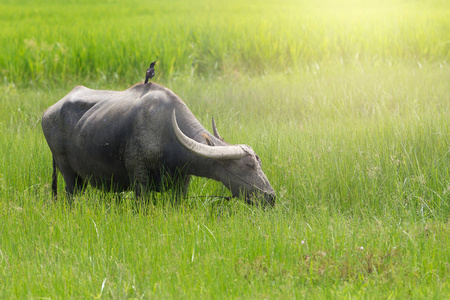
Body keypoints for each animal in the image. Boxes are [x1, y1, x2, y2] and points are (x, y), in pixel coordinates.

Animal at [42, 82, 276, 206]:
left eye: (259, 164)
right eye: (248, 166)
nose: (271, 197)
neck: (168, 136)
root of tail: (47, 113)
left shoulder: (183, 181)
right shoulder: (139, 177)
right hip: (67, 171)